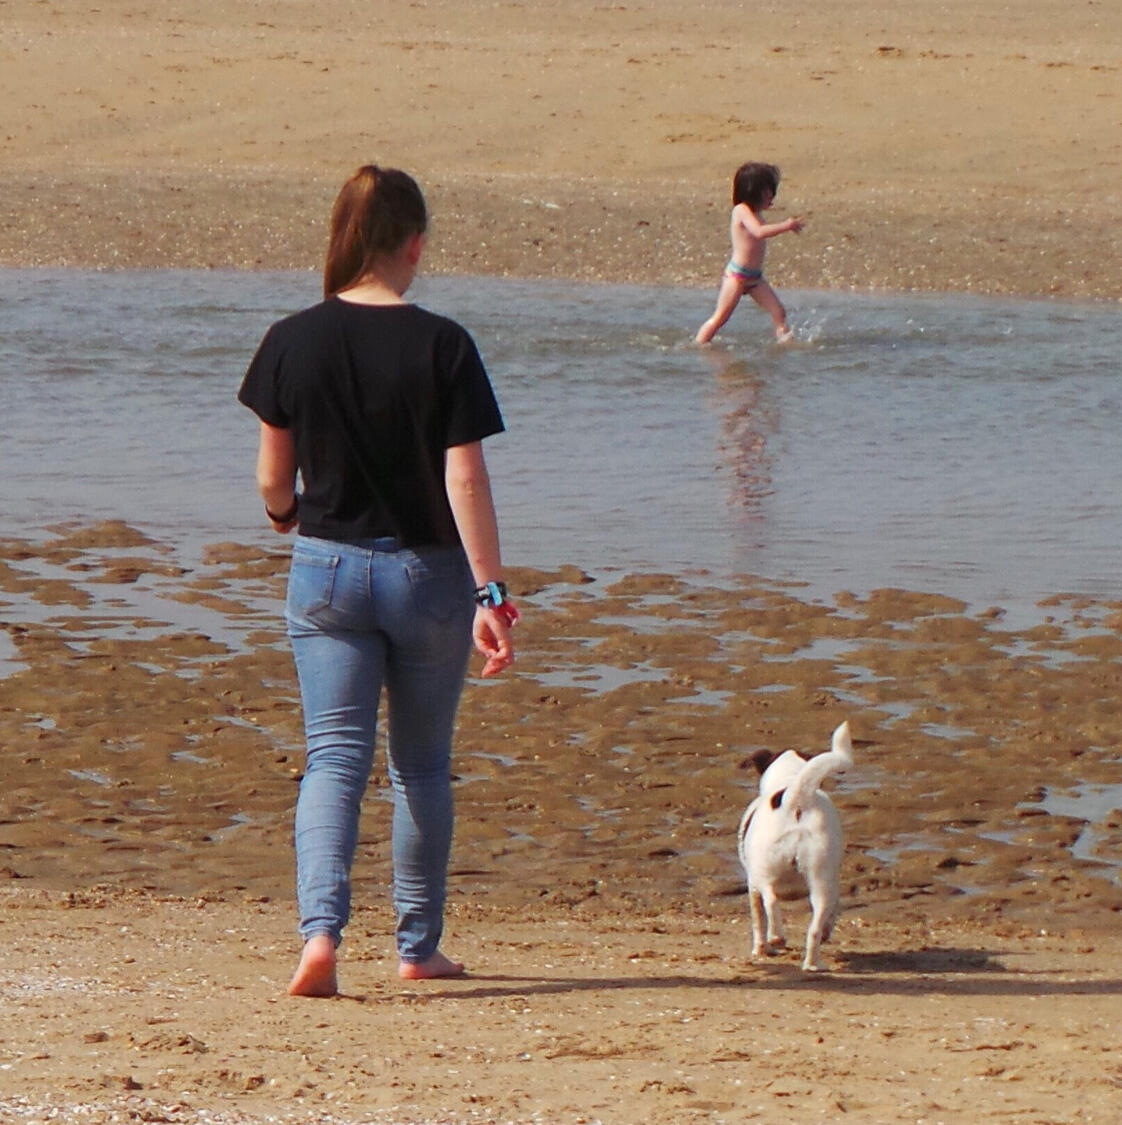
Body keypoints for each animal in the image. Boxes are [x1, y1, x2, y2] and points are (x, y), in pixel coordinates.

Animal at [733, 724, 850, 972]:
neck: (788, 778)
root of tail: (795, 797)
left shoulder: (752, 885)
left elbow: (758, 920)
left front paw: (760, 949)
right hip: (820, 878)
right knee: (815, 927)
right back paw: (813, 964)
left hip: (764, 871)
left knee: (771, 900)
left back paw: (777, 937)